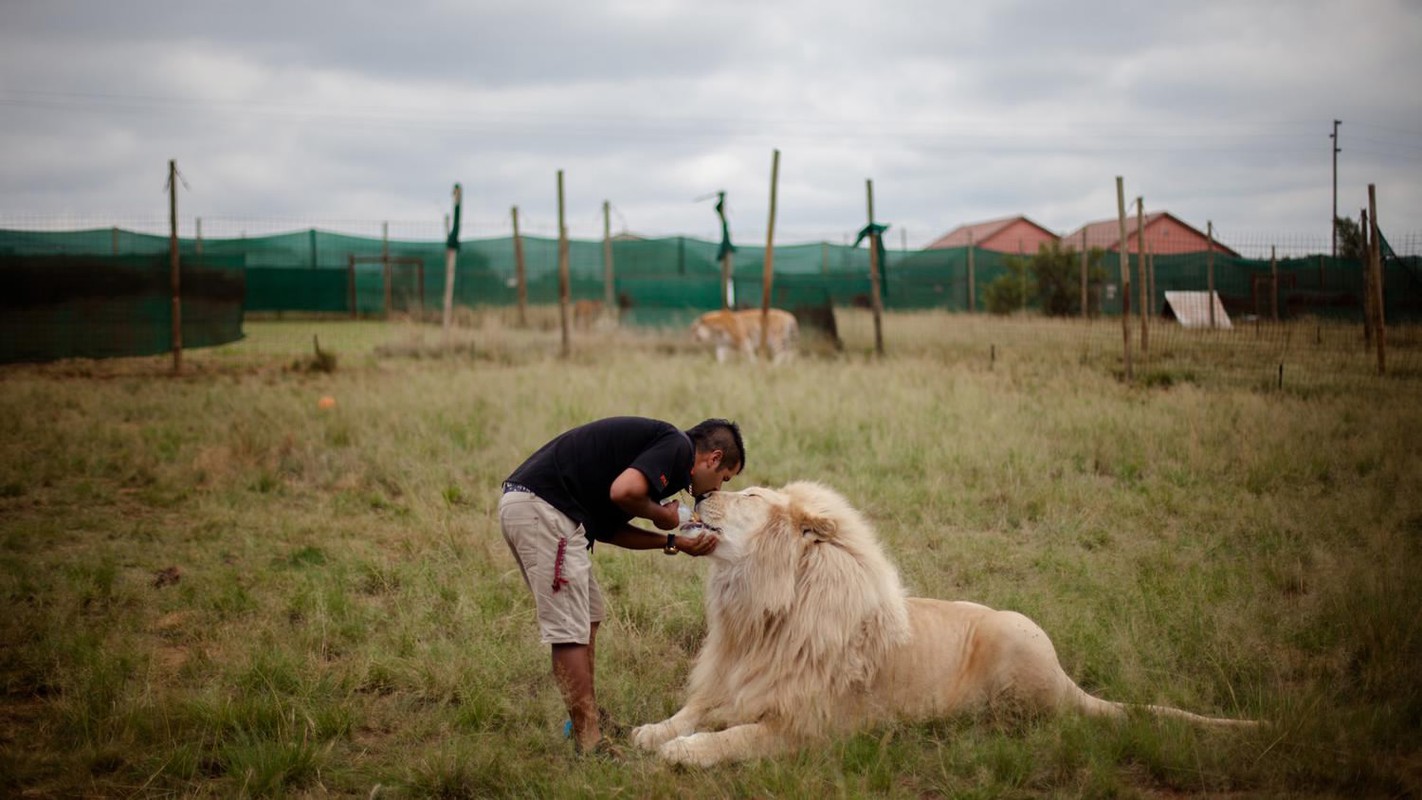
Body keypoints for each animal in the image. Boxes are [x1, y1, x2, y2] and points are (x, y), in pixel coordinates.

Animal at [634, 483, 1257, 767]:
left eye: (750, 494)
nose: (700, 492)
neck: (761, 609)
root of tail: (1066, 679)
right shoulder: (736, 680)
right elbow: (695, 710)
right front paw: (653, 731)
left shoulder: (806, 728)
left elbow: (733, 737)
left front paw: (684, 752)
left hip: (1013, 640)